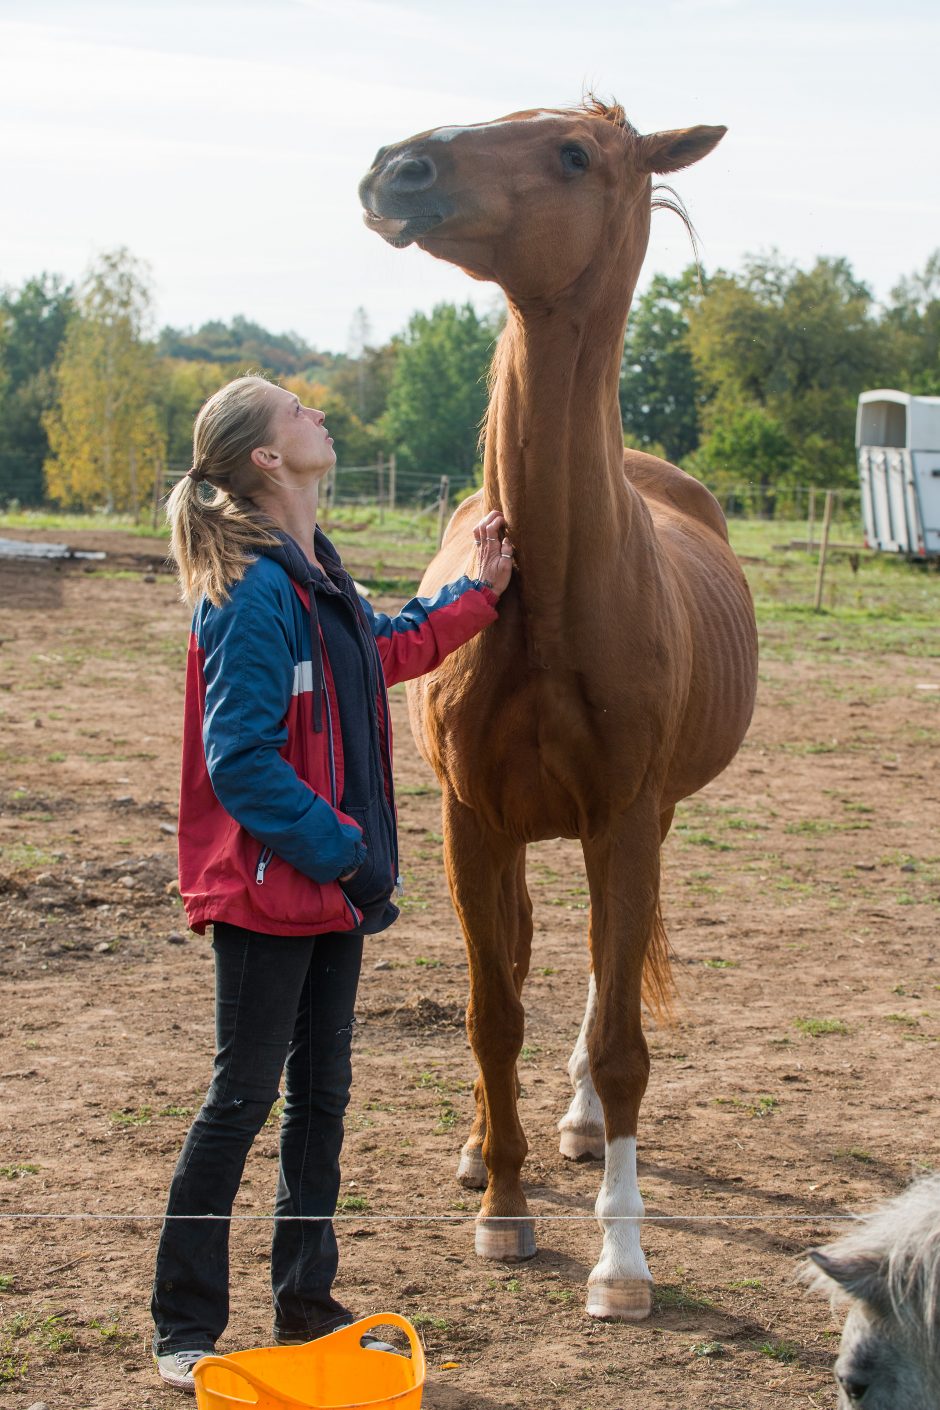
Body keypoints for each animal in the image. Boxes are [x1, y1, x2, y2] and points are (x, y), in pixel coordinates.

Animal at [357, 102, 755, 1319]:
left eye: (573, 155)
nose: (399, 167)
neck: (559, 588)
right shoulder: (472, 821)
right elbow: (493, 1012)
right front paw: (502, 1205)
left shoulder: (623, 821)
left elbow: (621, 1039)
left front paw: (621, 1261)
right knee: (527, 963)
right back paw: (488, 1147)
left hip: (636, 824)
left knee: (590, 974)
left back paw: (575, 1127)